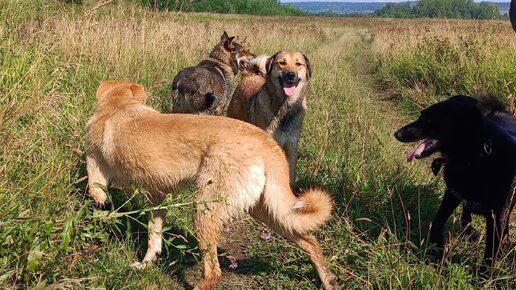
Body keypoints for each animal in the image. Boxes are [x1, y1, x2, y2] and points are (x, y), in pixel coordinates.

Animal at [86, 81, 336, 290]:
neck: (120, 105)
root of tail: (264, 141)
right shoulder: (157, 198)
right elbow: (153, 236)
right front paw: (146, 263)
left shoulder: (95, 161)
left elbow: (95, 187)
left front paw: (102, 208)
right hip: (270, 212)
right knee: (310, 241)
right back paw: (328, 280)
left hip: (204, 211)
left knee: (214, 272)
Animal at [227, 50, 310, 187]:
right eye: (282, 63)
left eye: (298, 64)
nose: (291, 75)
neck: (284, 107)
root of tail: (249, 75)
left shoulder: (291, 146)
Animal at [396, 94, 512, 276]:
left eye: (428, 119)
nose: (397, 133)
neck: (474, 159)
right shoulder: (453, 194)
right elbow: (436, 224)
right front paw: (438, 256)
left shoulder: (497, 215)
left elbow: (490, 253)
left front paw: (482, 278)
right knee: (466, 214)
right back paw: (468, 232)